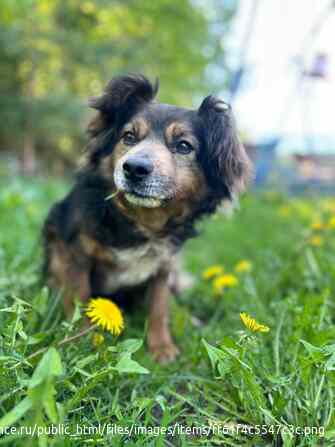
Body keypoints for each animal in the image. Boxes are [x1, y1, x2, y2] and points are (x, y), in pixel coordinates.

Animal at [42, 74, 252, 364]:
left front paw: (162, 348)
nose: (134, 168)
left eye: (183, 146)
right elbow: (79, 300)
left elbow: (159, 306)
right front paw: (79, 343)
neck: (142, 221)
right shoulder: (75, 254)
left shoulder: (165, 266)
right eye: (129, 137)